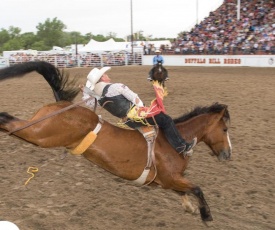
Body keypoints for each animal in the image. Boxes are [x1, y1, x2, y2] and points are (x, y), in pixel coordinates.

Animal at [0, 60, 233, 221]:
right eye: (224, 129)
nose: (228, 154)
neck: (174, 140)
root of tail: (63, 104)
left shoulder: (166, 180)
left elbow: (185, 191)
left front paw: (190, 207)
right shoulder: (171, 177)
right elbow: (197, 188)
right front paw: (206, 214)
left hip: (37, 133)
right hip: (39, 133)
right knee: (8, 119)